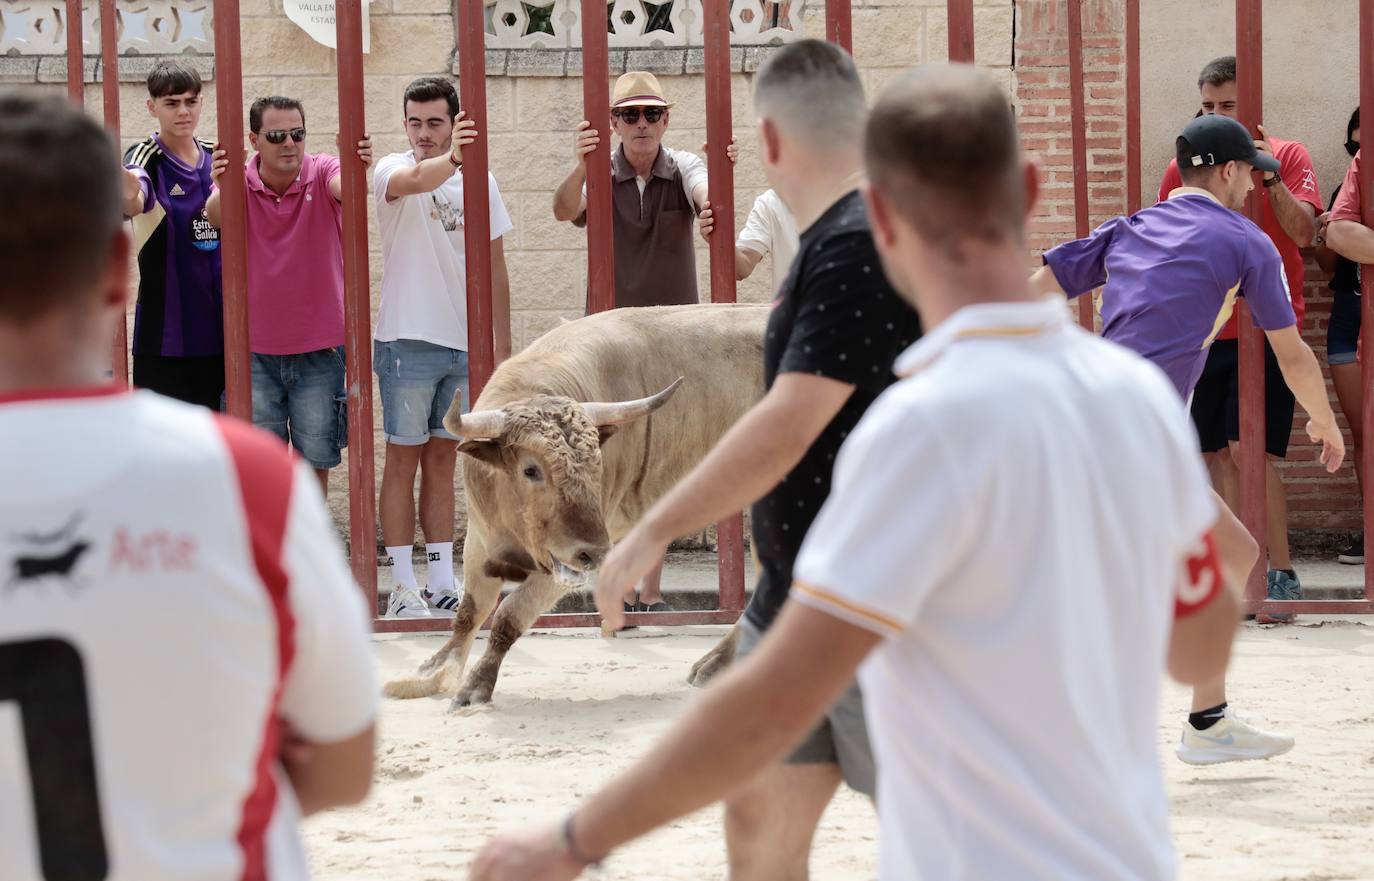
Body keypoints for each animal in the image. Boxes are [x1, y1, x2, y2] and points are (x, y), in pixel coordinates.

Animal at [384, 303, 763, 709]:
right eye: (530, 469)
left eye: (598, 464)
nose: (595, 554)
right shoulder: (479, 539)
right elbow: (471, 611)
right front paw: (430, 673)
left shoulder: (563, 562)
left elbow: (509, 614)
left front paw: (474, 687)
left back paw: (716, 664)